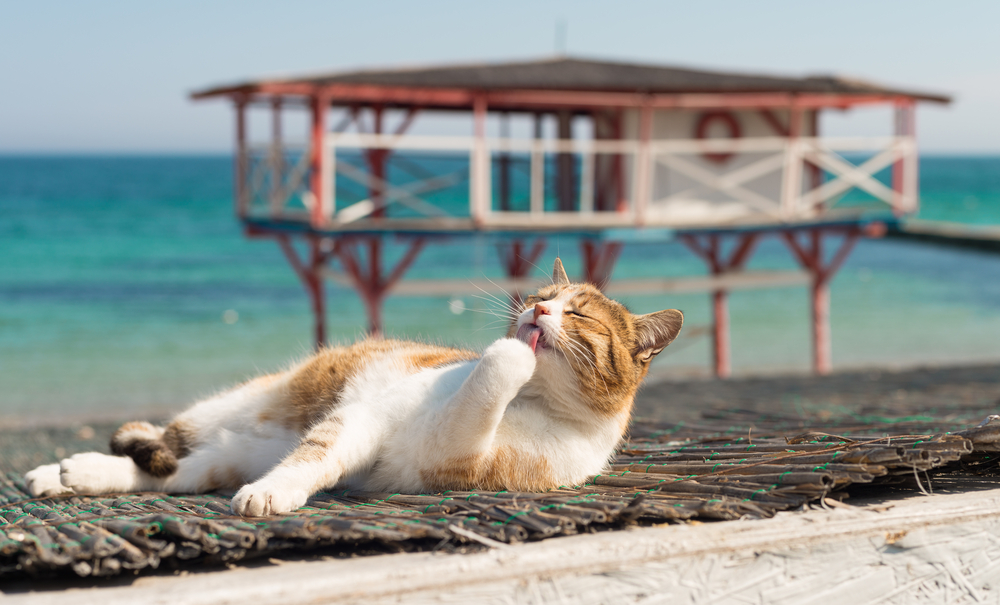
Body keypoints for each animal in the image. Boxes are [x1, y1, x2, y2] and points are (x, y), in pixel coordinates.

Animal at [25, 258, 680, 516]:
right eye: (543, 294)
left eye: (581, 313)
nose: (535, 310)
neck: (533, 402)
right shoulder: (368, 416)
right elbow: (317, 455)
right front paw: (277, 492)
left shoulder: (452, 454)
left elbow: (481, 392)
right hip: (225, 409)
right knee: (163, 442)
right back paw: (62, 471)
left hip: (219, 459)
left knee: (169, 473)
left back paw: (74, 475)